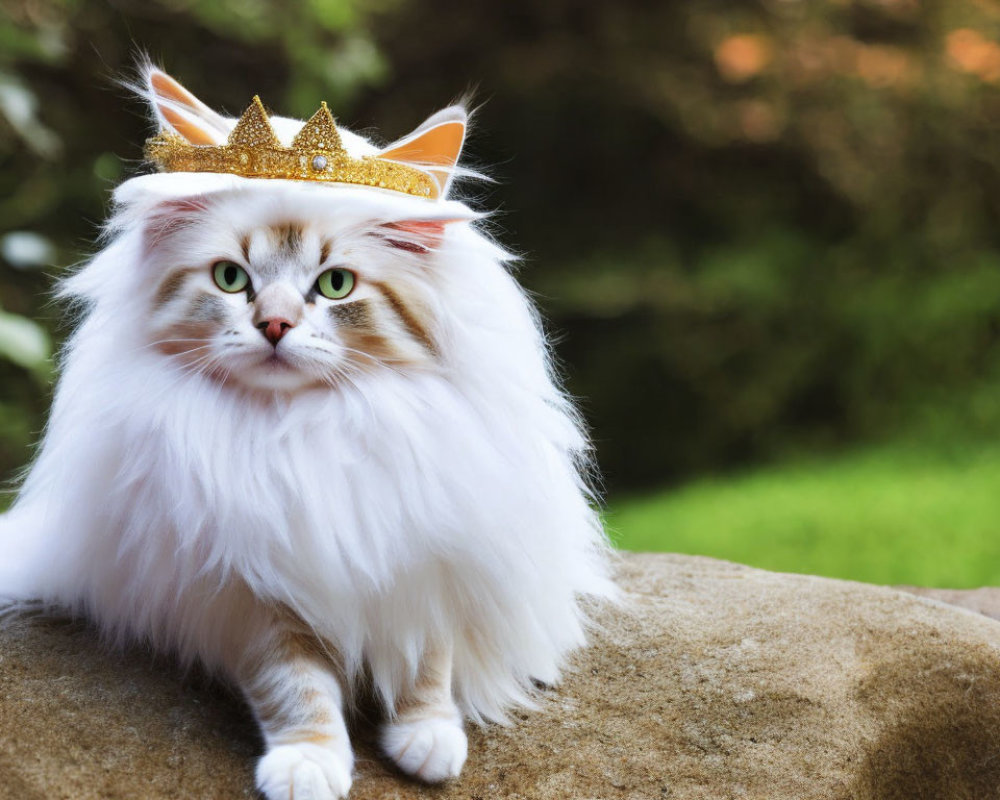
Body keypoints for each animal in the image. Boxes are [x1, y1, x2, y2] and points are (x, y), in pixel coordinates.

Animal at [0, 65, 608, 796]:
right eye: (231, 279)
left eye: (336, 285)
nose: (275, 325)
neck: (304, 430)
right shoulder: (250, 591)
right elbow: (296, 688)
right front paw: (309, 765)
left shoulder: (428, 549)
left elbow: (427, 662)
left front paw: (428, 740)